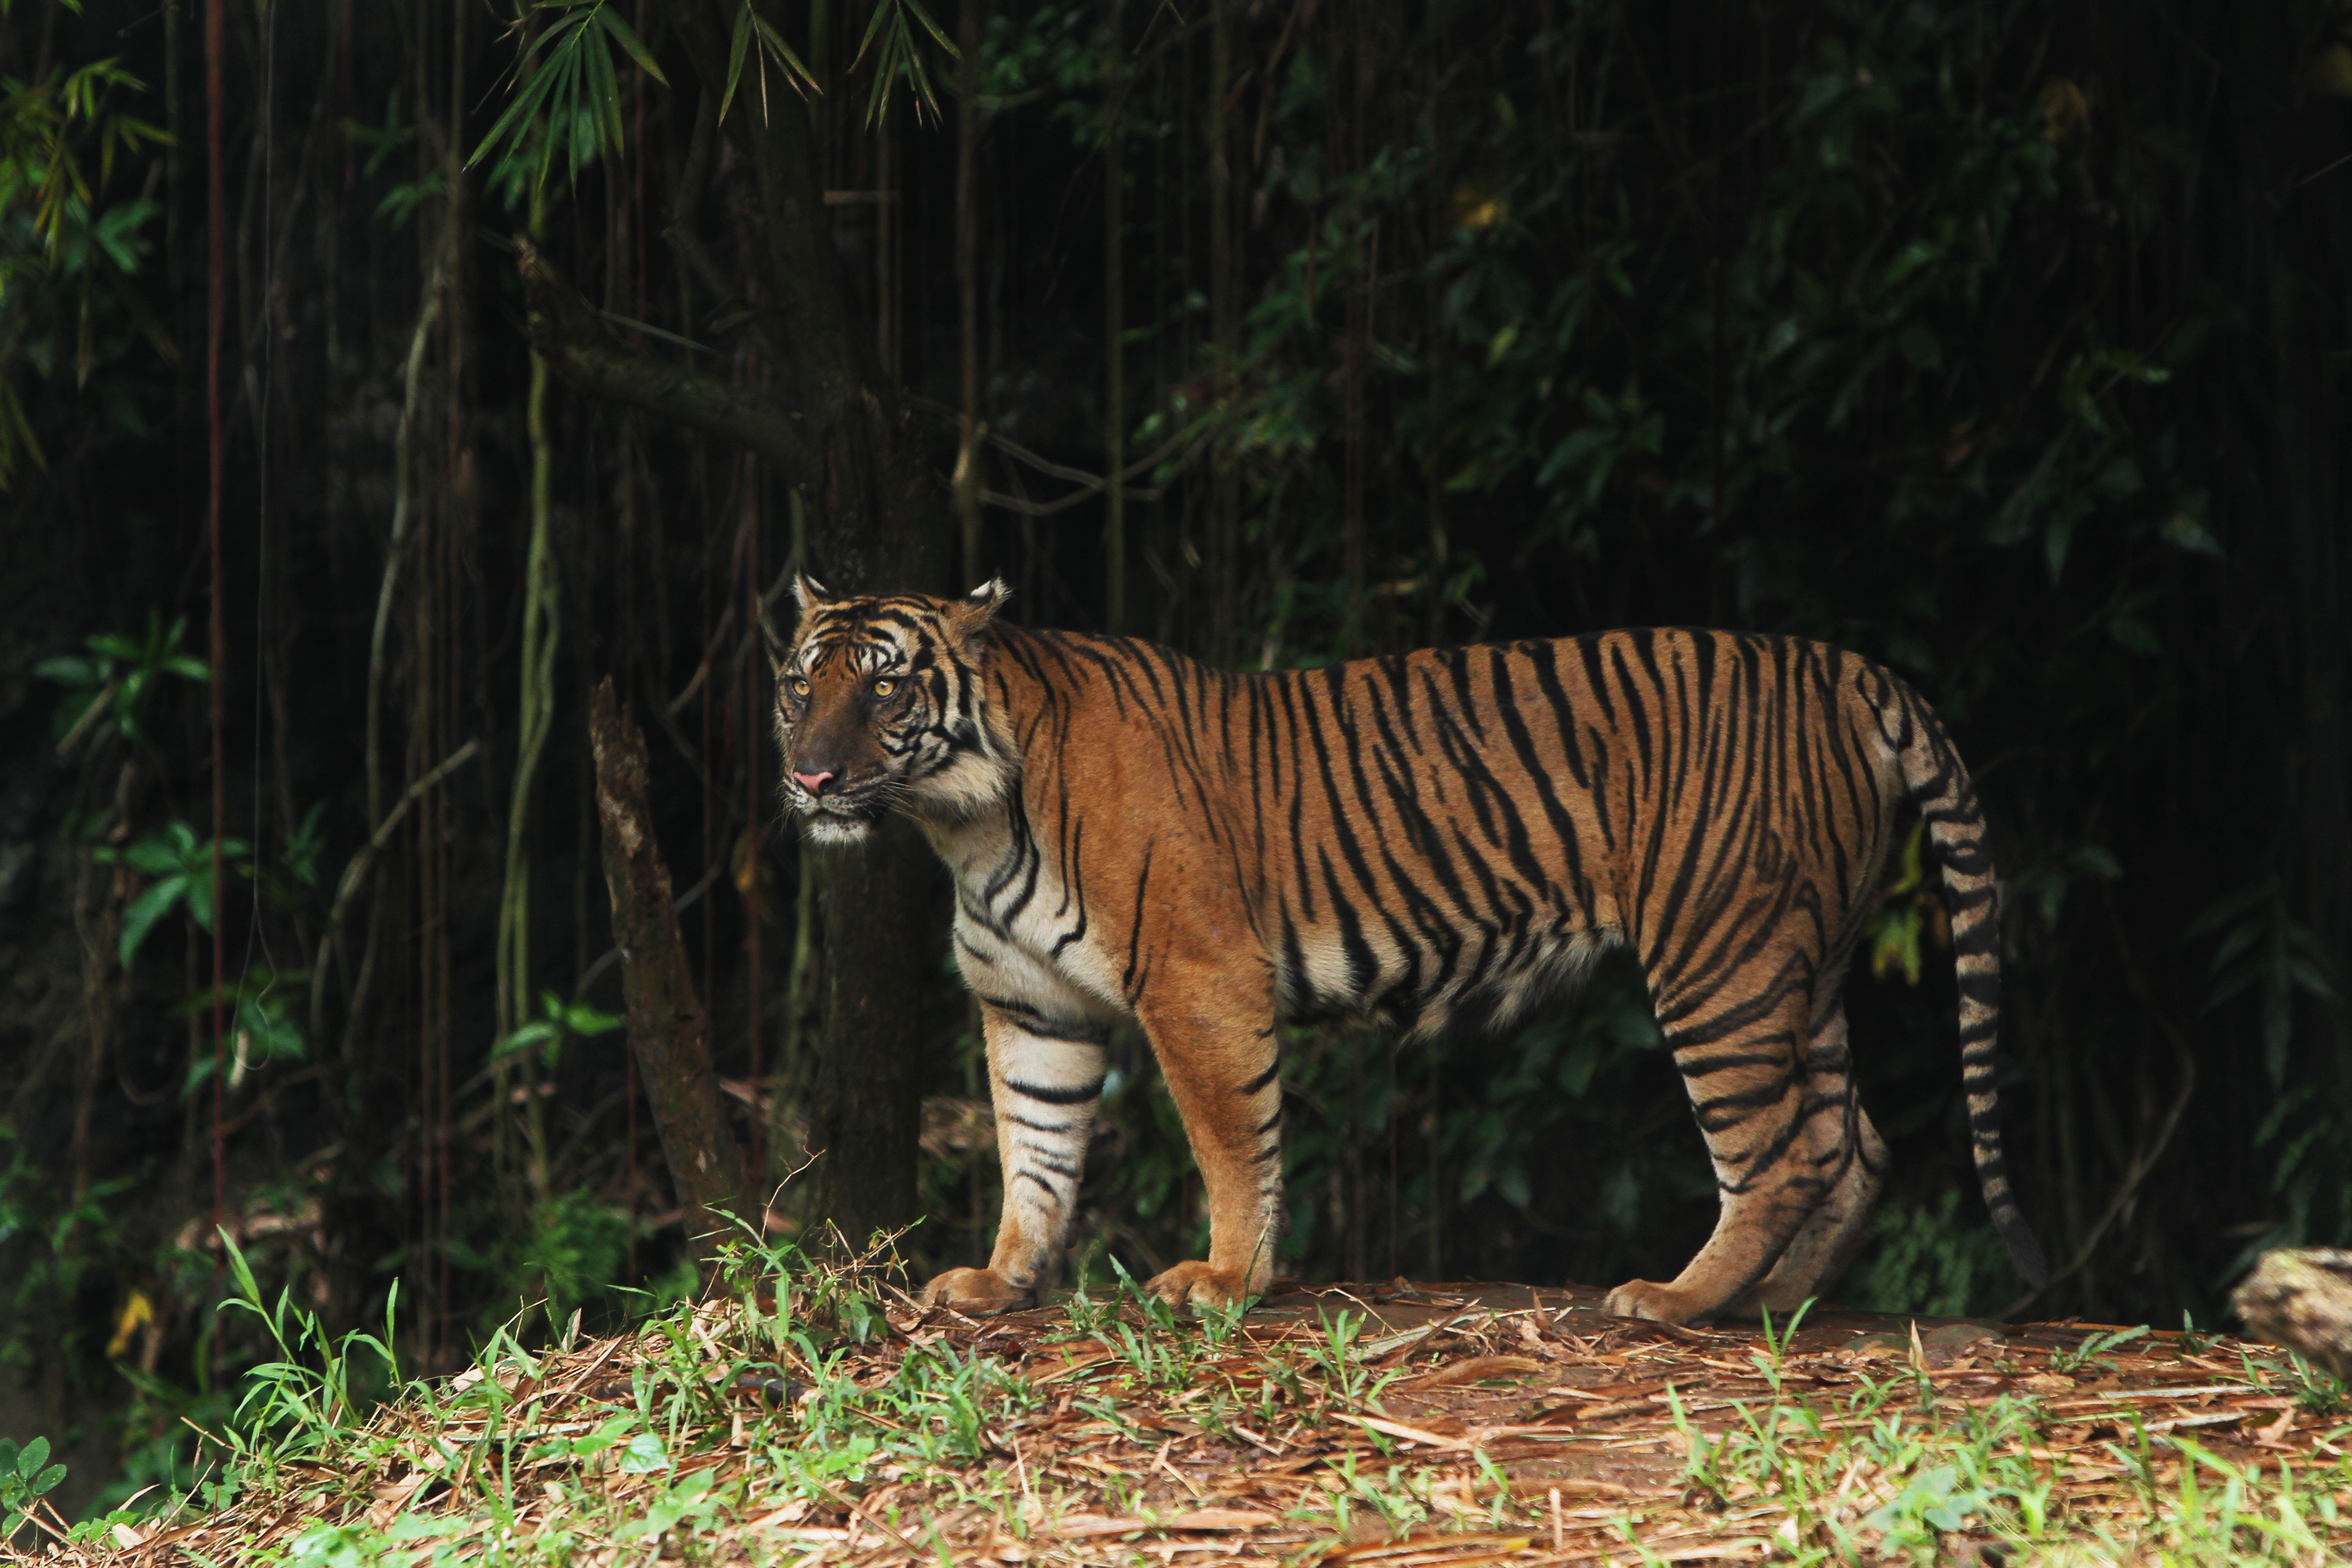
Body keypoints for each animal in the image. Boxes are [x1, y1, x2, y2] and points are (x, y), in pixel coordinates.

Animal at [771, 576, 2041, 1326]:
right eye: (797, 683)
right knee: (1851, 1142)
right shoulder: (1034, 1007)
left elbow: (1231, 1141)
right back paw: (1773, 1304)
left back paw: (1677, 1299)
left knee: (1782, 1152)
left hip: (1718, 954)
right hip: (1803, 961)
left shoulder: (1197, 982)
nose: (810, 777)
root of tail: (1846, 667)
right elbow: (1034, 1151)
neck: (963, 820)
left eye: (884, 683)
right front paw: (1004, 1278)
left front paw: (1227, 1280)